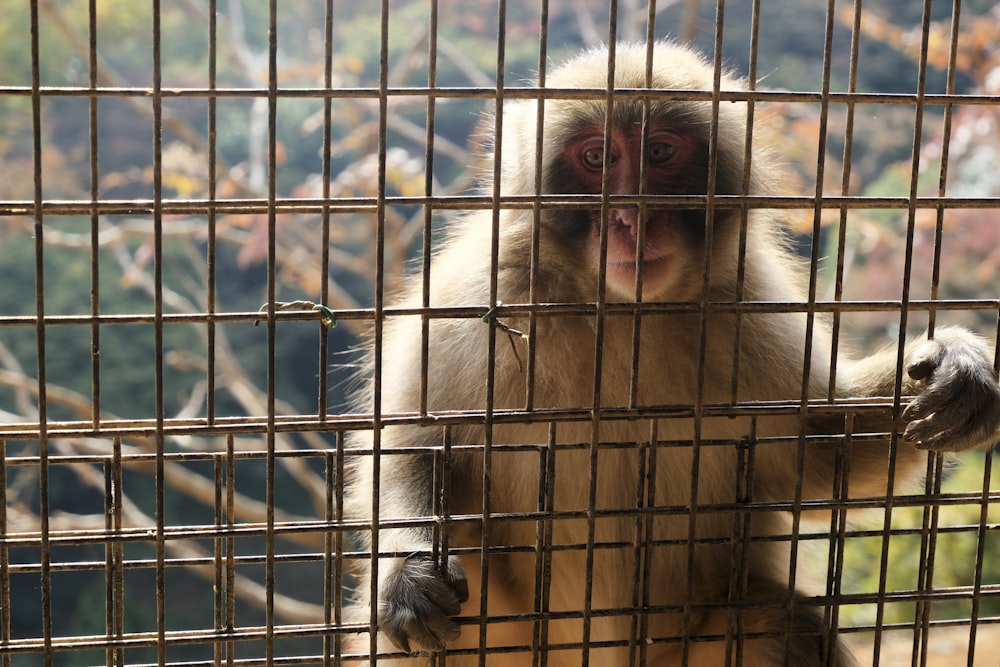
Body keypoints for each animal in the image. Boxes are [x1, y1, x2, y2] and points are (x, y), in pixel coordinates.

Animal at [342, 40, 1000, 664]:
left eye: (660, 153)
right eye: (597, 158)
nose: (631, 220)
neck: (618, 312)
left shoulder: (746, 303)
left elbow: (814, 453)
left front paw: (955, 372)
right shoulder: (481, 294)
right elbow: (414, 441)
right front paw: (406, 569)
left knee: (781, 626)